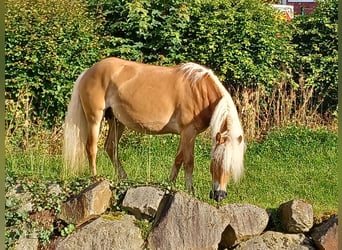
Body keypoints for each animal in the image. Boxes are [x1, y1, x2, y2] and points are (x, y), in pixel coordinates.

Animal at [63, 56, 246, 201]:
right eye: (215, 161)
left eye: (232, 165)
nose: (219, 196)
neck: (199, 91)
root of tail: (88, 71)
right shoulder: (189, 133)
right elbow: (188, 162)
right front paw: (190, 191)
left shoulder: (185, 135)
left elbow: (178, 159)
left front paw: (169, 184)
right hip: (95, 118)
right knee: (91, 148)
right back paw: (95, 179)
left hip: (117, 121)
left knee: (111, 147)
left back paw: (124, 179)